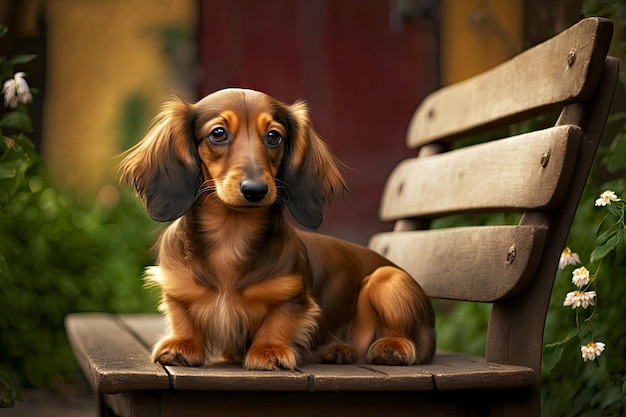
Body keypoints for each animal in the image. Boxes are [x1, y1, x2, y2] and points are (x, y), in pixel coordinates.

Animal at [120, 88, 434, 370]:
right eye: (218, 133)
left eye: (273, 136)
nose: (255, 190)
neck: (231, 235)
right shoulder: (175, 287)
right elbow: (182, 314)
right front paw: (182, 345)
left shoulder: (292, 295)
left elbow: (279, 320)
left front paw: (269, 351)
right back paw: (337, 350)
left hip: (389, 280)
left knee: (409, 341)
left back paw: (391, 346)